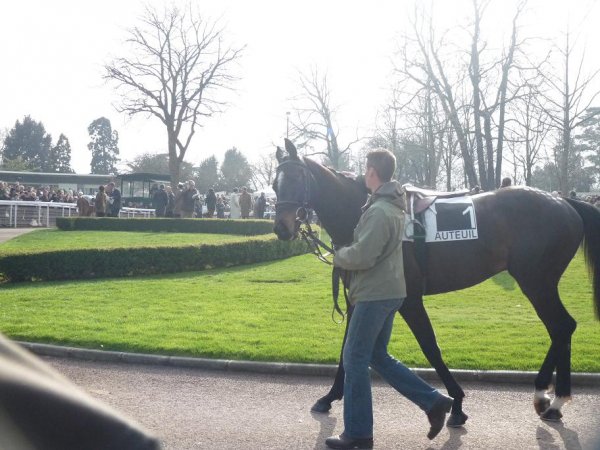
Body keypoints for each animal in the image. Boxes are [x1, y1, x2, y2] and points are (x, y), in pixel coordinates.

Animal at [274, 139, 600, 428]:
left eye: (296, 178)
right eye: (275, 183)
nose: (281, 228)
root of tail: (563, 201)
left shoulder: (409, 300)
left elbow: (430, 347)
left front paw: (456, 403)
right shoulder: (360, 298)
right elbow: (348, 347)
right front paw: (329, 397)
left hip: (536, 281)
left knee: (561, 326)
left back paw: (549, 397)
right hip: (540, 282)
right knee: (563, 328)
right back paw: (553, 400)